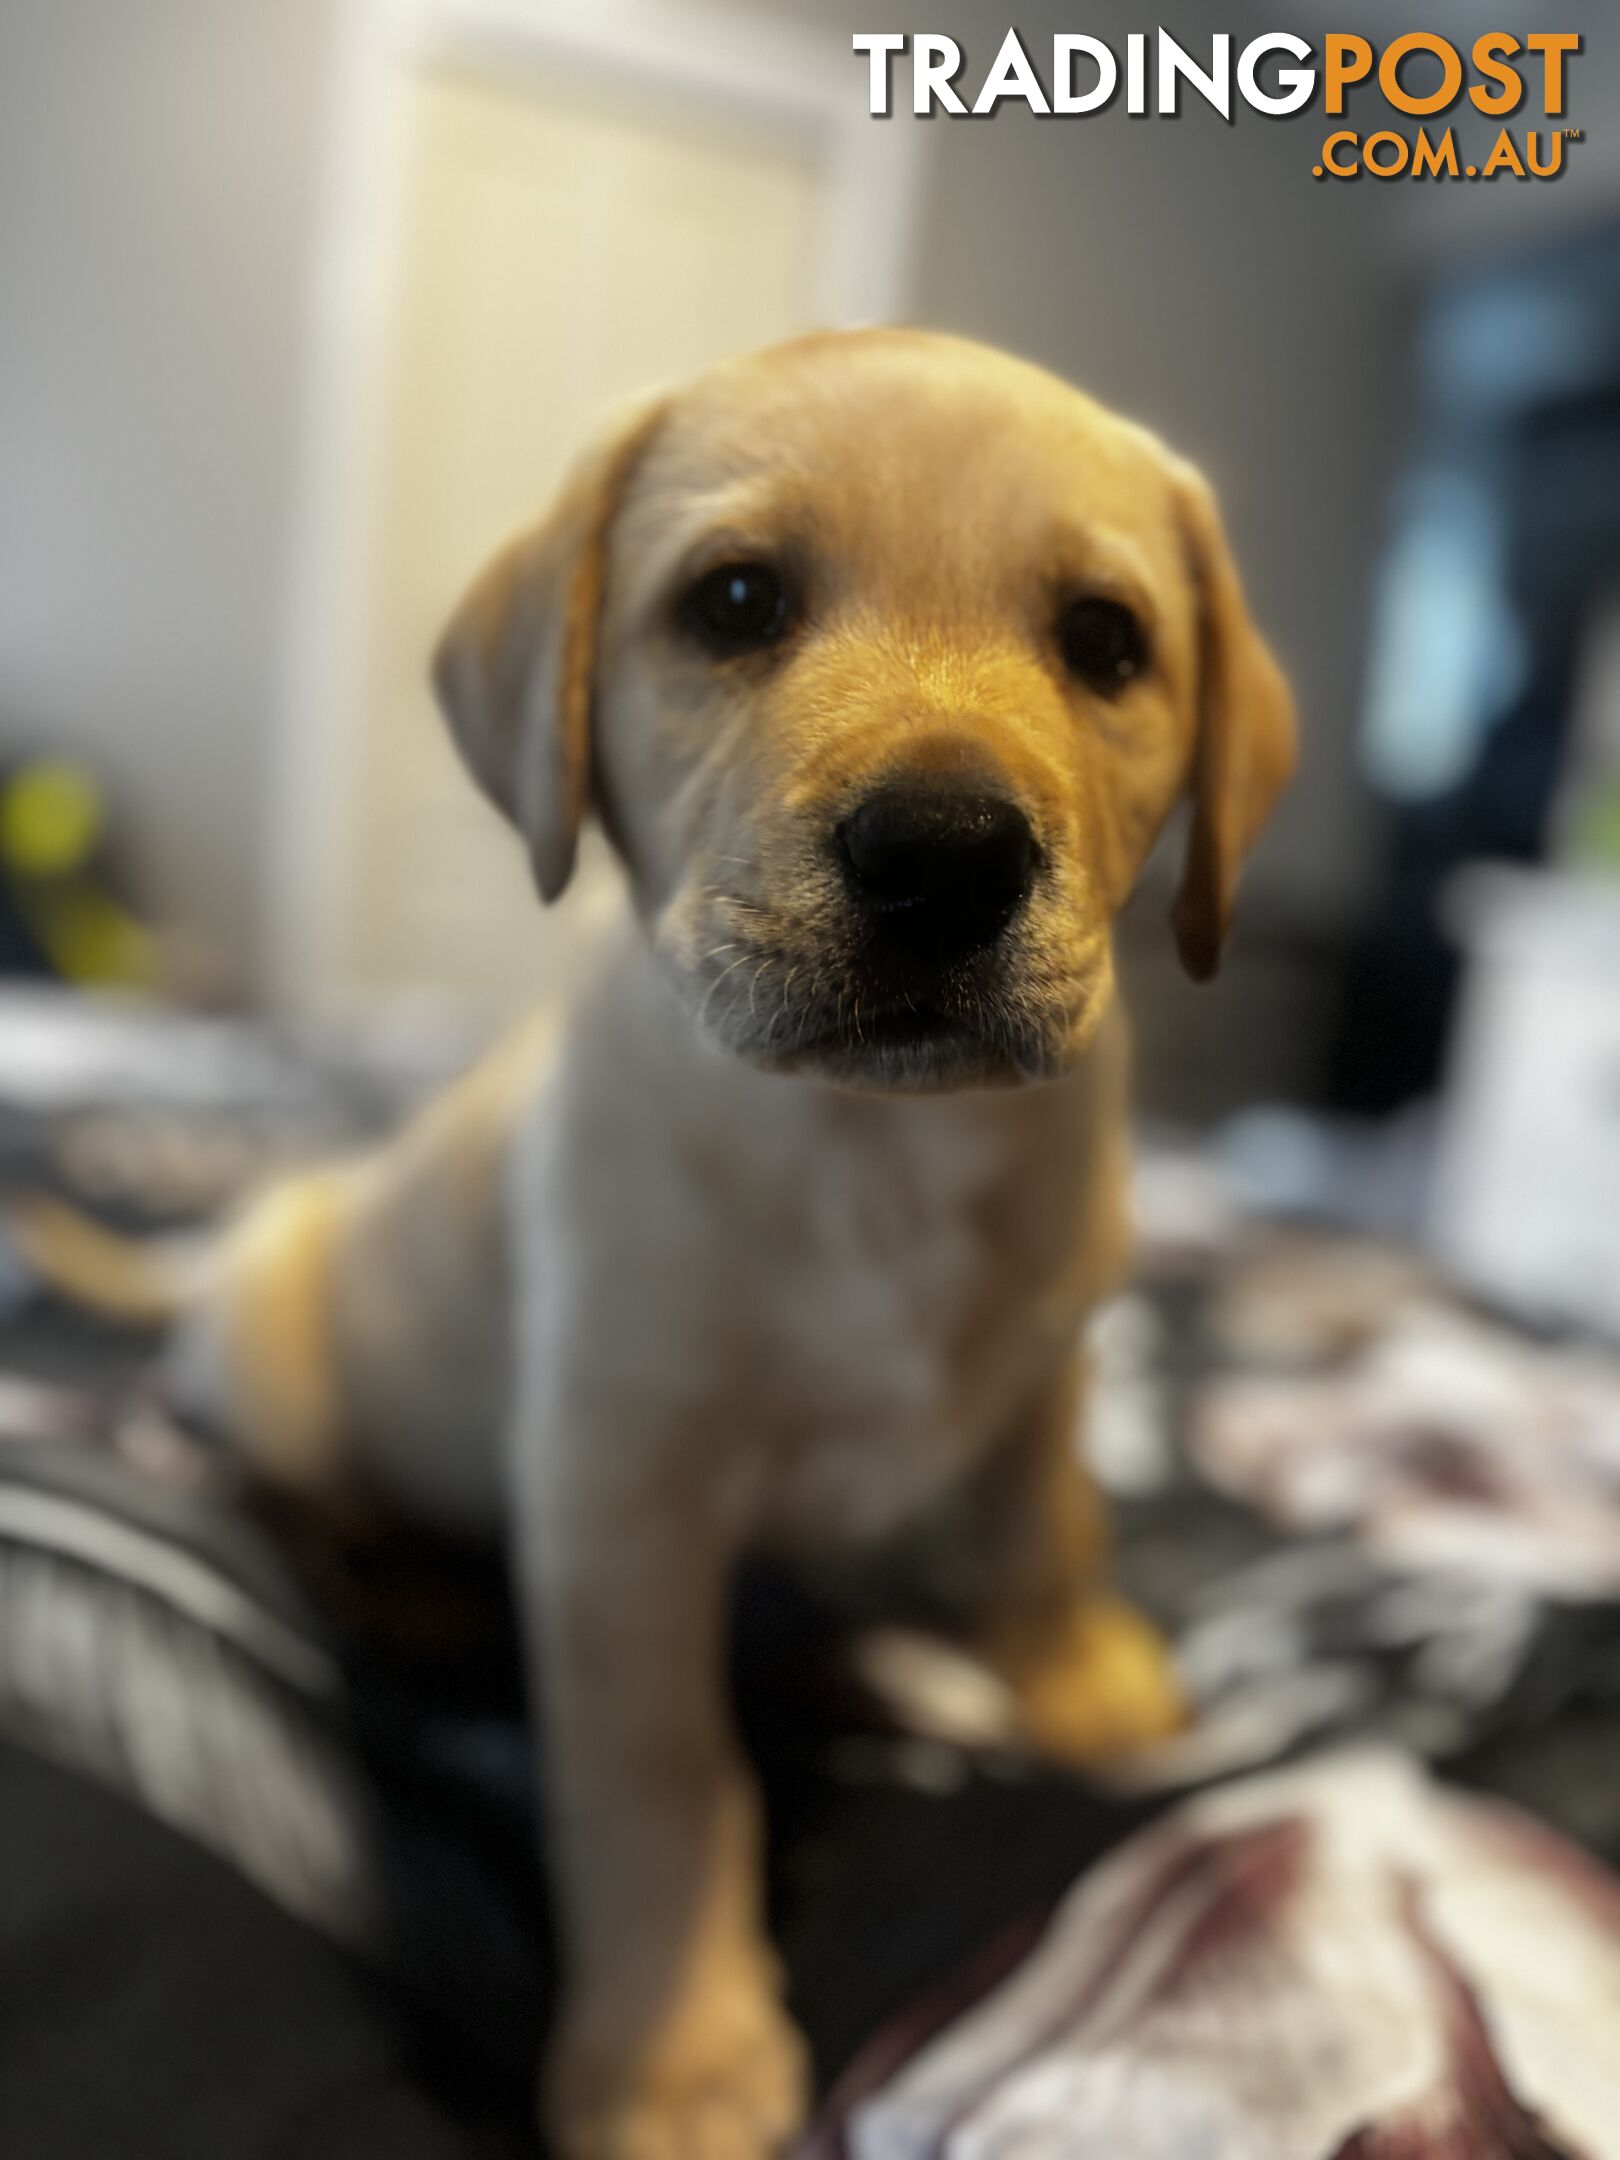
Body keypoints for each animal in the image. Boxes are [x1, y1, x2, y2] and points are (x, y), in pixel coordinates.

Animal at [25, 328, 1304, 2151]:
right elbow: (661, 1782)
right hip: (281, 1368)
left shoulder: (1048, 1360)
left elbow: (1041, 1526)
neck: (872, 1152)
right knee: (284, 1490)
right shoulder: (621, 1501)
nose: (944, 856)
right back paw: (396, 1584)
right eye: (736, 600)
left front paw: (1075, 1677)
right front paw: (673, 2058)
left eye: (1108, 642)